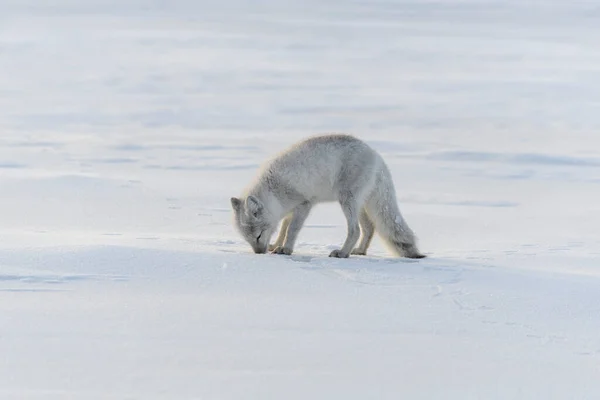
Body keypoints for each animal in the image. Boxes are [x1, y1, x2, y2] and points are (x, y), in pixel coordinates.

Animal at [231, 134, 426, 260]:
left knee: (355, 230)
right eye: (248, 239)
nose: (259, 253)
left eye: (258, 236)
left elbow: (292, 229)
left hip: (347, 200)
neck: (274, 189)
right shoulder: (289, 209)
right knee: (369, 228)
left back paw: (342, 253)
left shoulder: (304, 204)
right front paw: (277, 245)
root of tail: (376, 155)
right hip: (360, 204)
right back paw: (359, 251)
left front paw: (285, 249)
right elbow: (284, 229)